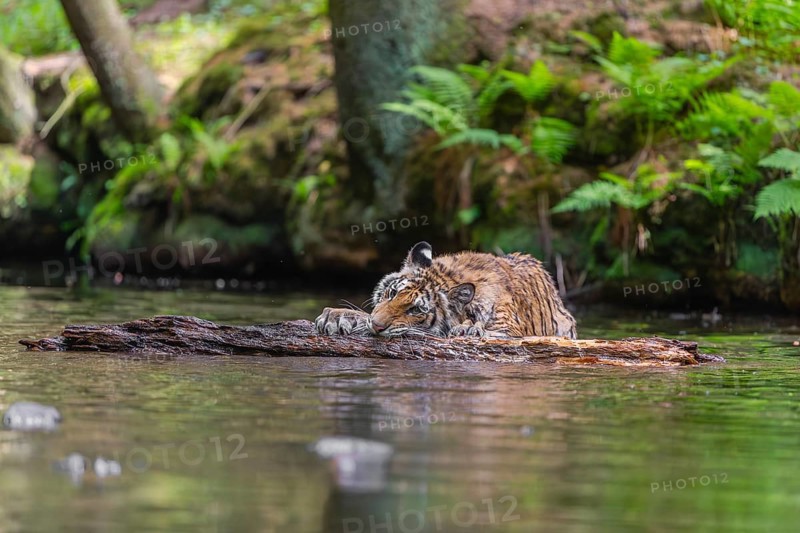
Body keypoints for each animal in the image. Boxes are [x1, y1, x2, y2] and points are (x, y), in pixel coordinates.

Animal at [314, 241, 577, 339]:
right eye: (392, 294)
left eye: (415, 310)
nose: (378, 327)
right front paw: (335, 316)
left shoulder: (509, 329)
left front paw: (468, 328)